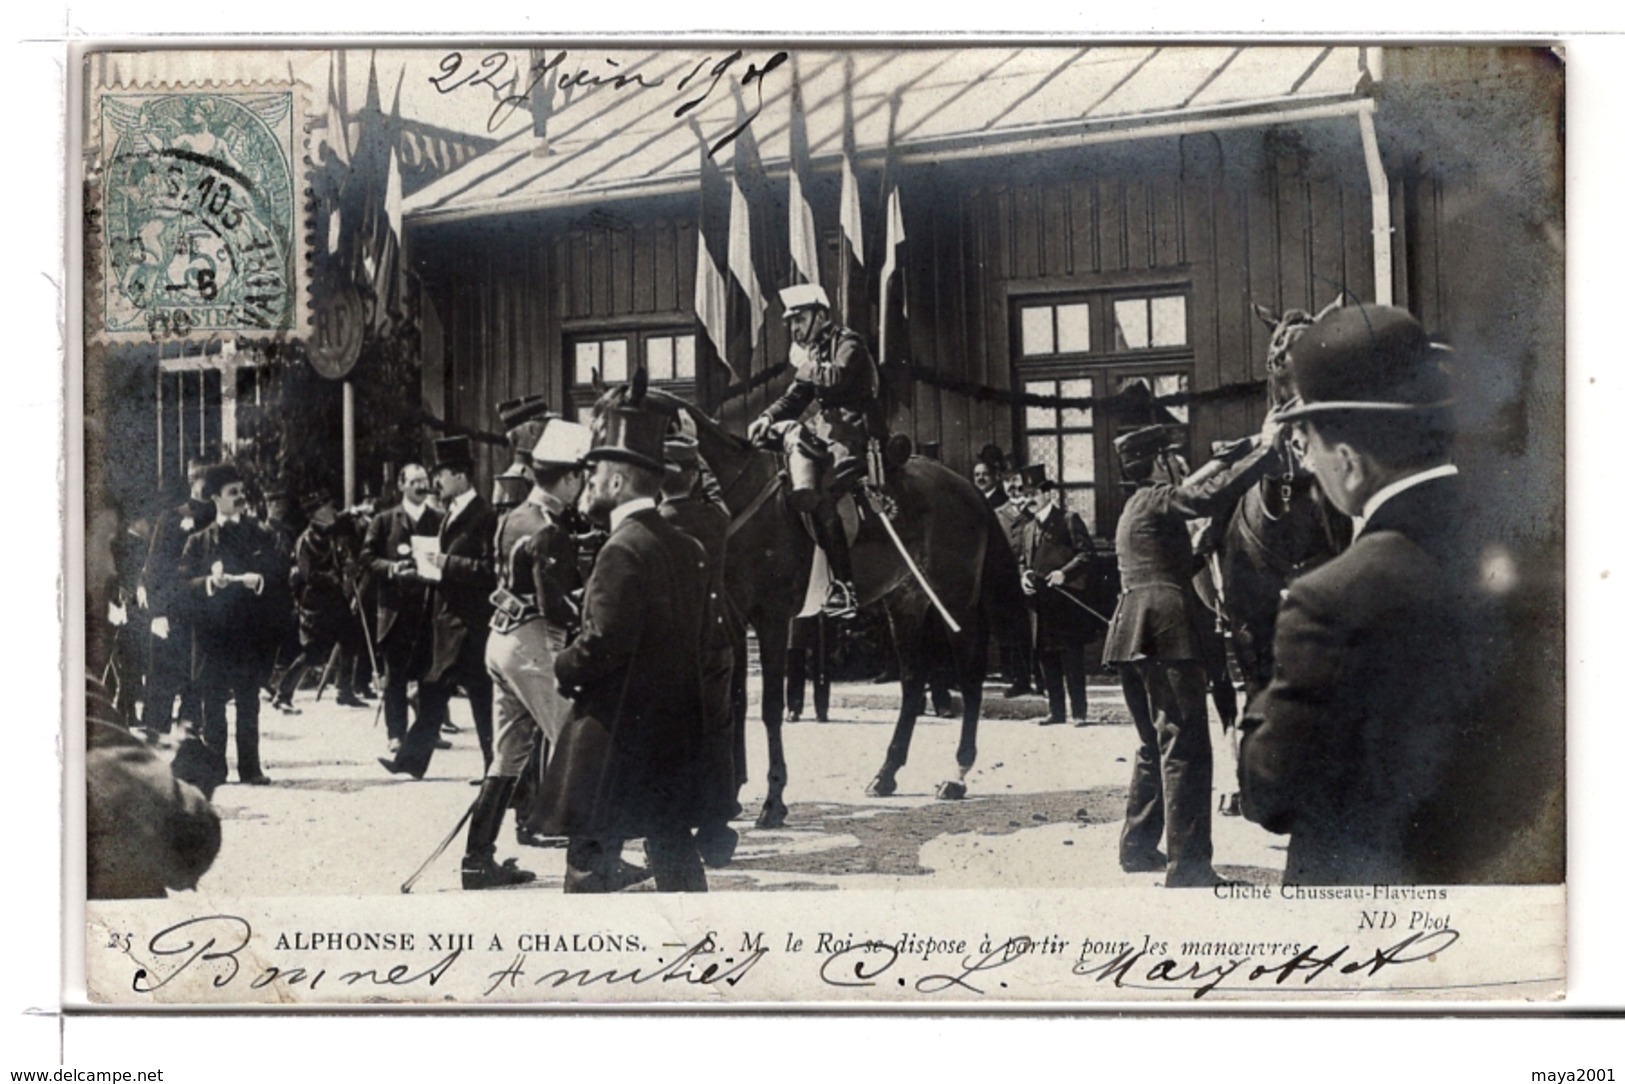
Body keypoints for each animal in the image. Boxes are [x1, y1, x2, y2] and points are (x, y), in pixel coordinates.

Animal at [594, 381, 1027, 832]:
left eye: (629, 430)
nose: (600, 504)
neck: (737, 498)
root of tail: (965, 485)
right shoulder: (732, 619)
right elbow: (735, 700)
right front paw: (732, 796)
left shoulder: (771, 620)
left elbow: (770, 707)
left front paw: (773, 801)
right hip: (905, 601)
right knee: (911, 682)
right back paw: (886, 774)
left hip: (955, 601)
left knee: (970, 678)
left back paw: (956, 775)